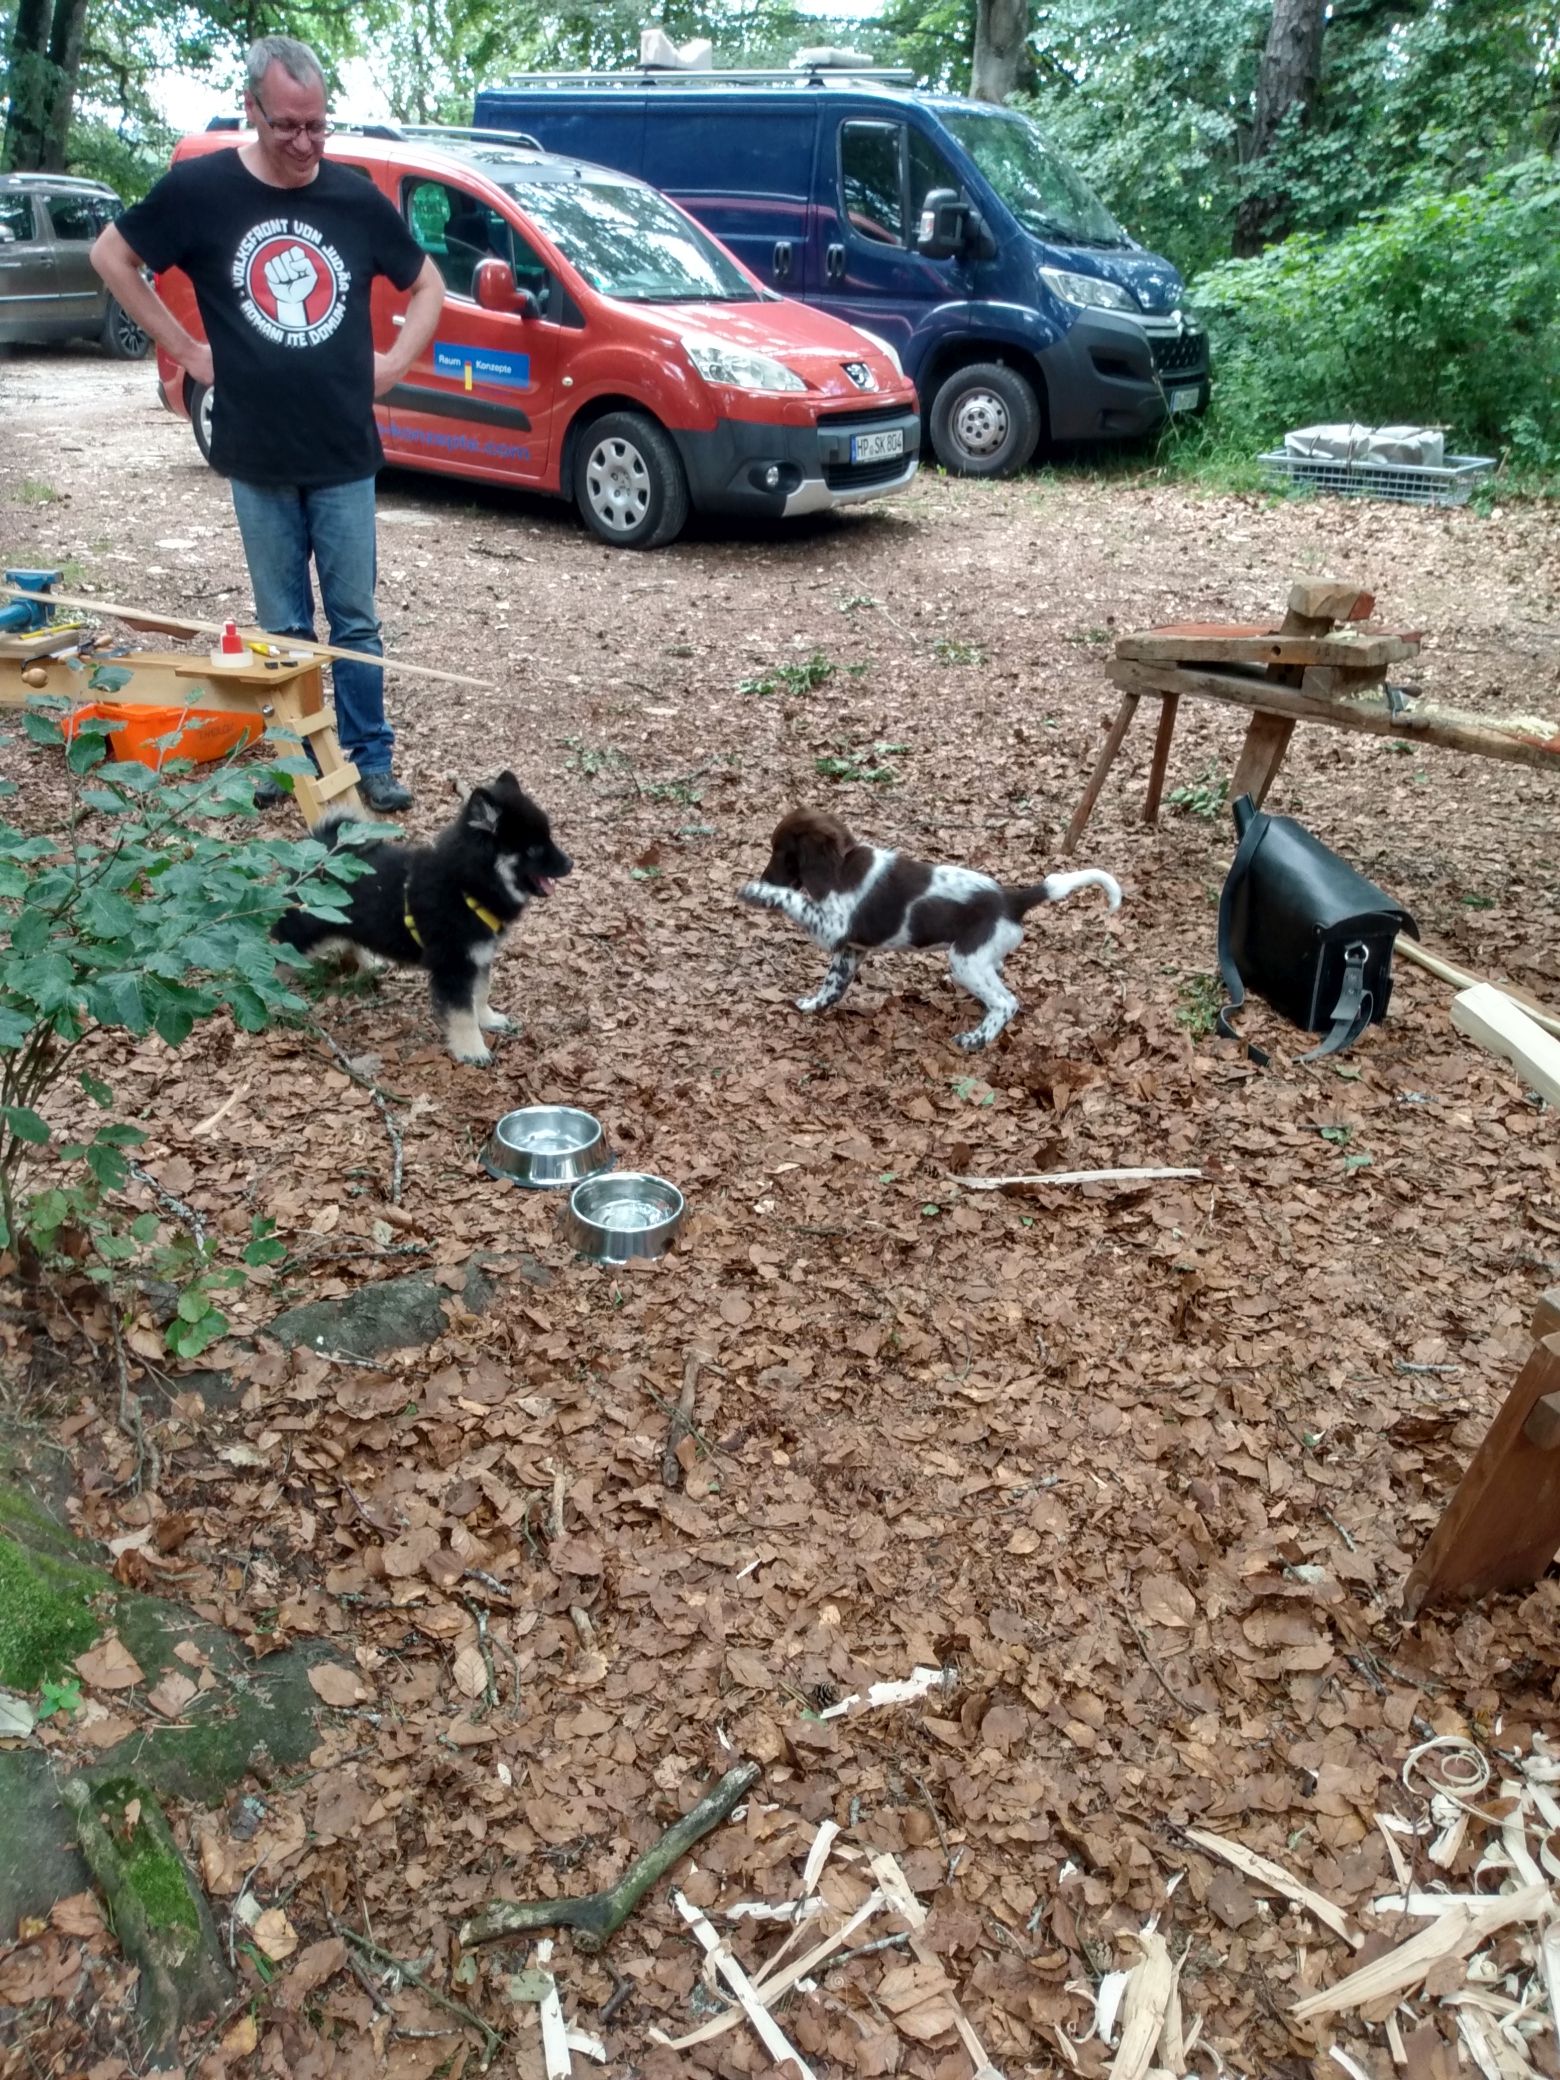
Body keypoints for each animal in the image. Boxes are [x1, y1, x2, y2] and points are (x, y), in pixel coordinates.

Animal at [272, 772, 572, 1064]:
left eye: (549, 838)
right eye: (534, 849)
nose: (571, 864)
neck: (466, 885)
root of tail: (321, 851)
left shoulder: (479, 957)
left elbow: (481, 993)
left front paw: (489, 1020)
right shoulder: (454, 965)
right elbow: (463, 1013)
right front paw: (473, 1050)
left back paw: (371, 962)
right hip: (305, 931)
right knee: (278, 955)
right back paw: (272, 997)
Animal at [739, 806, 1121, 1050]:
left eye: (779, 851)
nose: (762, 877)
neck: (842, 866)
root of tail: (1012, 900)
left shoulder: (834, 928)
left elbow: (793, 898)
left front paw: (756, 892)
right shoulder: (851, 948)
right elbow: (833, 984)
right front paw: (813, 1005)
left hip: (966, 961)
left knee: (1006, 1002)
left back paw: (975, 1039)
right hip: (980, 958)